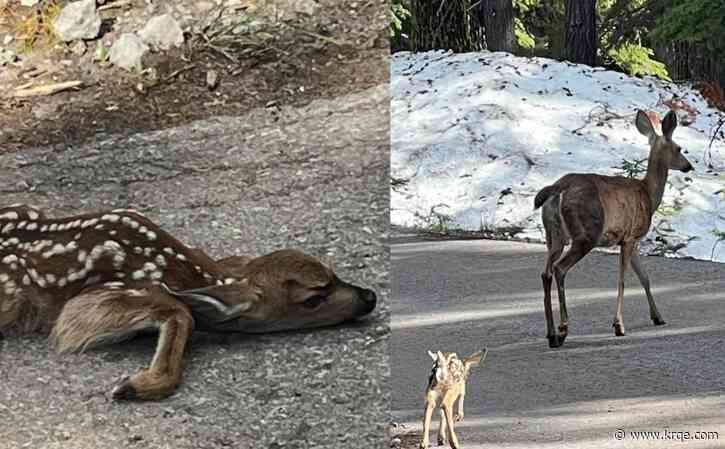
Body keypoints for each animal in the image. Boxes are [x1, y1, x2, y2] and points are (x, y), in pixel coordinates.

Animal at [0, 204, 377, 399]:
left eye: (334, 273)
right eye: (313, 299)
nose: (369, 297)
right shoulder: (104, 294)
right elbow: (183, 312)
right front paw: (132, 386)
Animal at [534, 109, 693, 348]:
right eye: (679, 148)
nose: (688, 166)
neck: (648, 194)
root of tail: (557, 189)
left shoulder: (632, 240)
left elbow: (645, 277)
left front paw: (658, 317)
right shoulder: (629, 236)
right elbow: (623, 280)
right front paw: (619, 326)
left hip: (553, 233)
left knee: (546, 273)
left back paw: (551, 335)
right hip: (586, 232)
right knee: (560, 268)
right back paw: (563, 330)